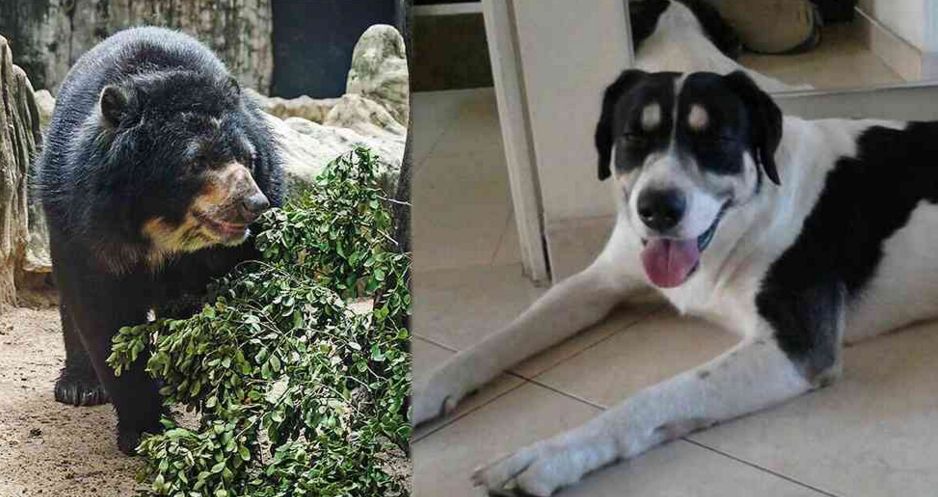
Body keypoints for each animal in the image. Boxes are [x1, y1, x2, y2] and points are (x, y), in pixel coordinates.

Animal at [35, 27, 283, 455]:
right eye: (198, 160)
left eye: (248, 158)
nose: (254, 203)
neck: (165, 230)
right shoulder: (86, 222)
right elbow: (103, 314)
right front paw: (146, 430)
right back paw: (79, 386)